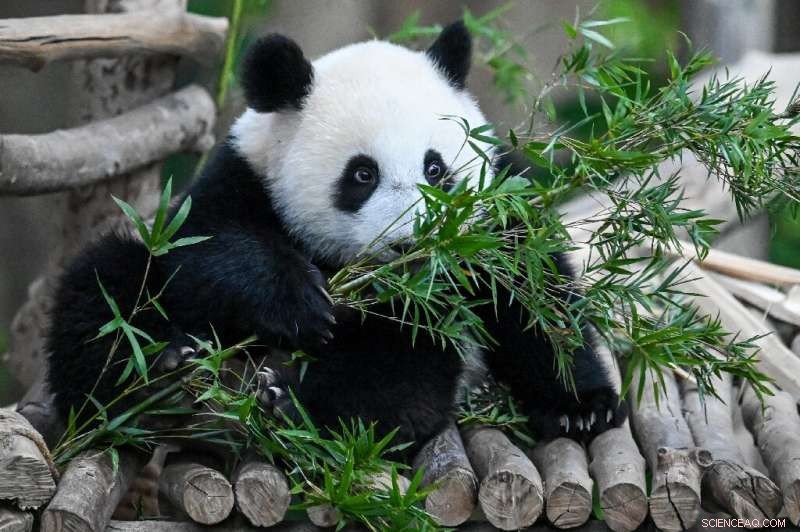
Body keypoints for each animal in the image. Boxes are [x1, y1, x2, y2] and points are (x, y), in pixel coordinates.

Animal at [46, 21, 626, 455]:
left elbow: (532, 296)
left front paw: (579, 408)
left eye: (436, 169)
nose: (412, 245)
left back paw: (292, 402)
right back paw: (157, 369)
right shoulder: (242, 179)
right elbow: (203, 250)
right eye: (362, 175)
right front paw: (298, 302)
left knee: (401, 373)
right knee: (105, 289)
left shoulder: (494, 211)